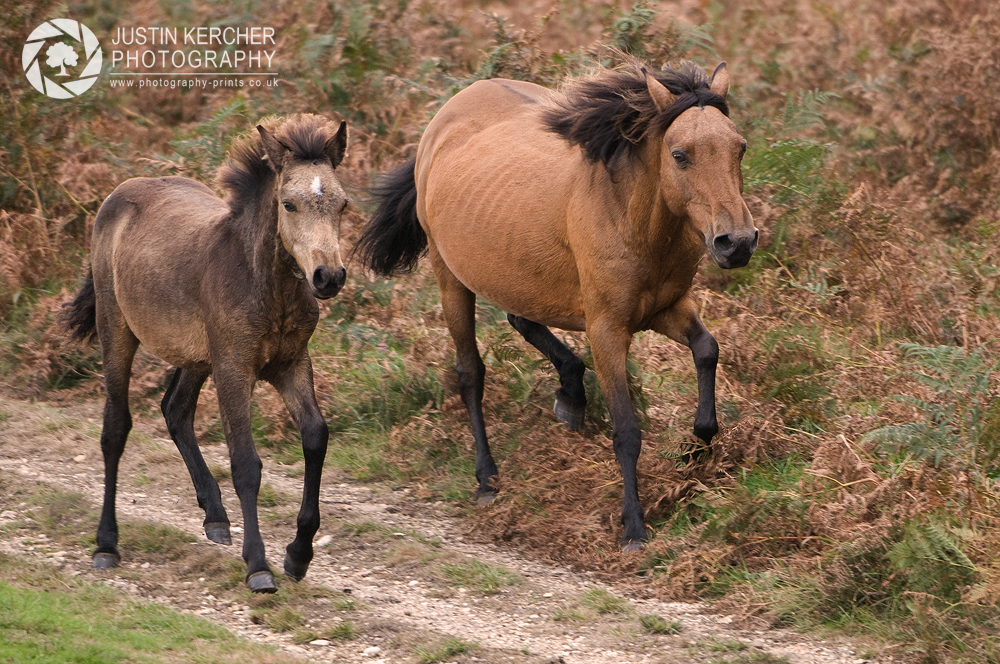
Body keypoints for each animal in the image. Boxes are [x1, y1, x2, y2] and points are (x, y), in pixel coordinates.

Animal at [63, 114, 352, 592]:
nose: (328, 276)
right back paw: (106, 544)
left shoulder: (290, 363)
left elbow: (315, 437)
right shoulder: (234, 367)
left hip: (197, 355)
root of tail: (121, 192)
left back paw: (215, 516)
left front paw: (298, 554)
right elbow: (246, 462)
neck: (266, 286)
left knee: (175, 408)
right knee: (115, 427)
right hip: (116, 328)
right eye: (289, 204)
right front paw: (259, 566)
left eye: (342, 204)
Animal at [356, 62, 752, 548]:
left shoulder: (668, 308)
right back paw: (487, 479)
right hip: (451, 280)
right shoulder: (607, 330)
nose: (737, 242)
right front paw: (634, 528)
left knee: (520, 318)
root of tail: (446, 116)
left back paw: (571, 396)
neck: (627, 214)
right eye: (680, 155)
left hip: (516, 272)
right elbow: (626, 430)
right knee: (470, 373)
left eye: (739, 148)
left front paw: (695, 451)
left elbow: (707, 351)